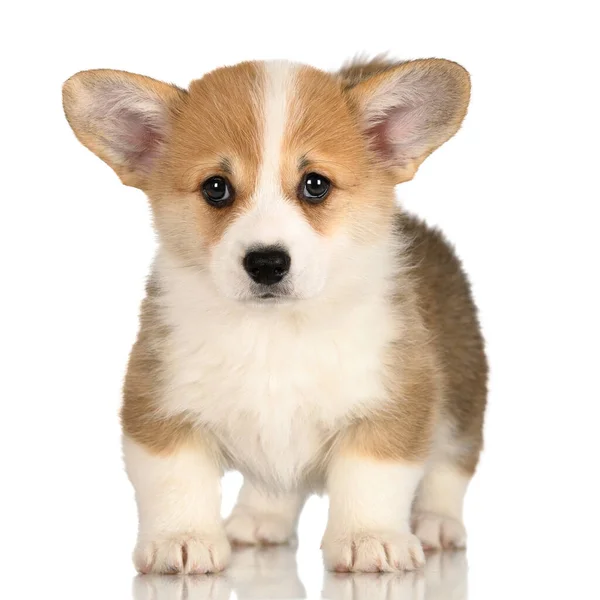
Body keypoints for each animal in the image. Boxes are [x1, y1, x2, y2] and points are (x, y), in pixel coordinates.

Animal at [63, 57, 486, 576]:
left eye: (315, 184)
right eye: (216, 188)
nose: (266, 262)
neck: (274, 331)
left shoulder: (393, 402)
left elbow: (372, 477)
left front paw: (370, 538)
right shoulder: (159, 403)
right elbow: (174, 480)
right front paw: (181, 539)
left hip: (462, 397)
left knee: (450, 466)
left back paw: (436, 525)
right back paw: (259, 519)